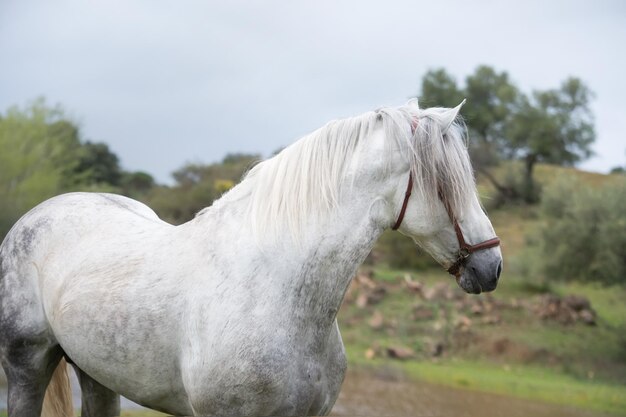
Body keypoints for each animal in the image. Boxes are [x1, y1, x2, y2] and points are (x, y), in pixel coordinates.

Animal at [0, 99, 498, 414]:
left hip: (98, 376)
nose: (491, 266)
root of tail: (36, 215)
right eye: (443, 183)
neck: (274, 290)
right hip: (26, 366)